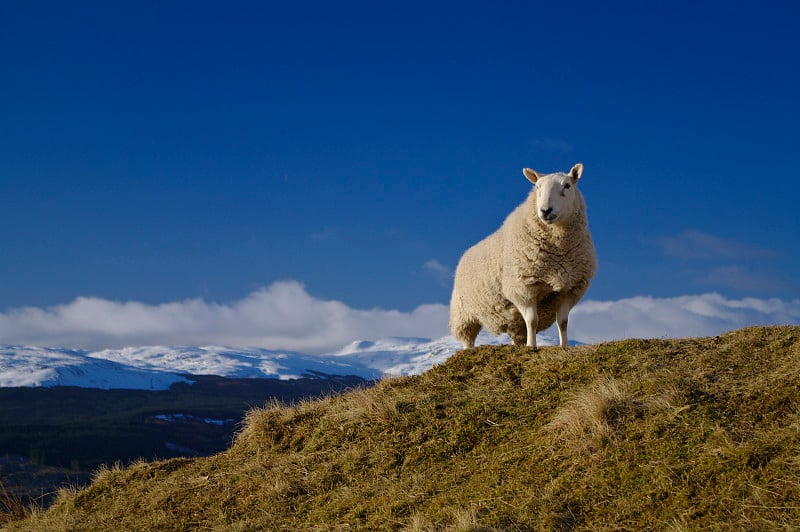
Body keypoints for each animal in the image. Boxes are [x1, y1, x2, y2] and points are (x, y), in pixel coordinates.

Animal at [450, 164, 592, 352]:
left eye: (567, 186)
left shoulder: (569, 288)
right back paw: (468, 352)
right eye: (537, 187)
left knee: (517, 332)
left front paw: (564, 346)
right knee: (468, 338)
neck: (559, 250)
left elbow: (562, 322)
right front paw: (532, 346)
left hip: (511, 317)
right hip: (463, 314)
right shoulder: (523, 288)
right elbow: (532, 321)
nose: (545, 211)